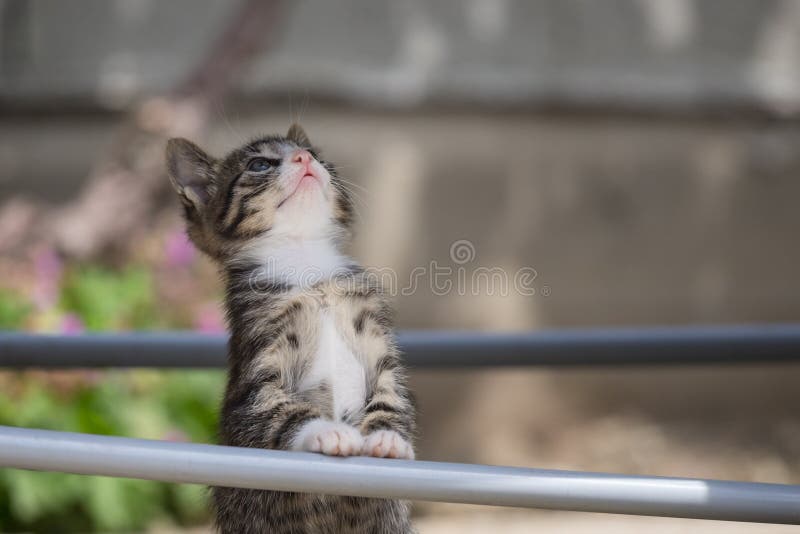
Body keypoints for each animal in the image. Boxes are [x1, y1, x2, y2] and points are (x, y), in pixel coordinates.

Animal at [165, 126, 416, 534]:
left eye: (316, 154)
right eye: (259, 164)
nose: (304, 158)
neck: (307, 269)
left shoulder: (381, 350)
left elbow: (391, 399)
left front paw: (388, 438)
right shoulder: (256, 381)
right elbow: (281, 413)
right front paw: (327, 431)